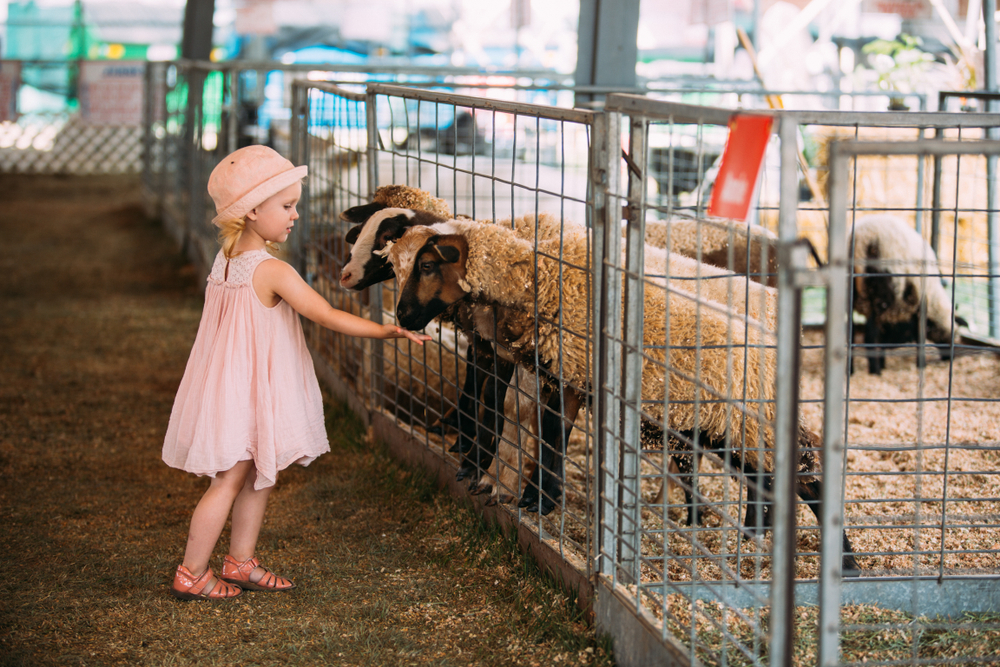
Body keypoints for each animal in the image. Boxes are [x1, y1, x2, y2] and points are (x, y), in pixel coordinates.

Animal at [386, 220, 864, 576]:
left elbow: (549, 429)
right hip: (723, 426)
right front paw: (529, 491)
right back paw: (750, 536)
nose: (402, 316)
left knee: (806, 474)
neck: (540, 277)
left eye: (426, 265)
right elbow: (544, 427)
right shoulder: (560, 372)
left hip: (745, 420)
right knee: (766, 478)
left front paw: (538, 498)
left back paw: (845, 562)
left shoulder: (569, 367)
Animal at [848, 215, 964, 376]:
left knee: (850, 334)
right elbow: (920, 338)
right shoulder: (920, 307)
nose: (949, 358)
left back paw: (851, 370)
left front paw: (883, 362)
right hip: (879, 296)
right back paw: (875, 371)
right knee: (869, 337)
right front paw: (921, 365)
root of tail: (861, 238)